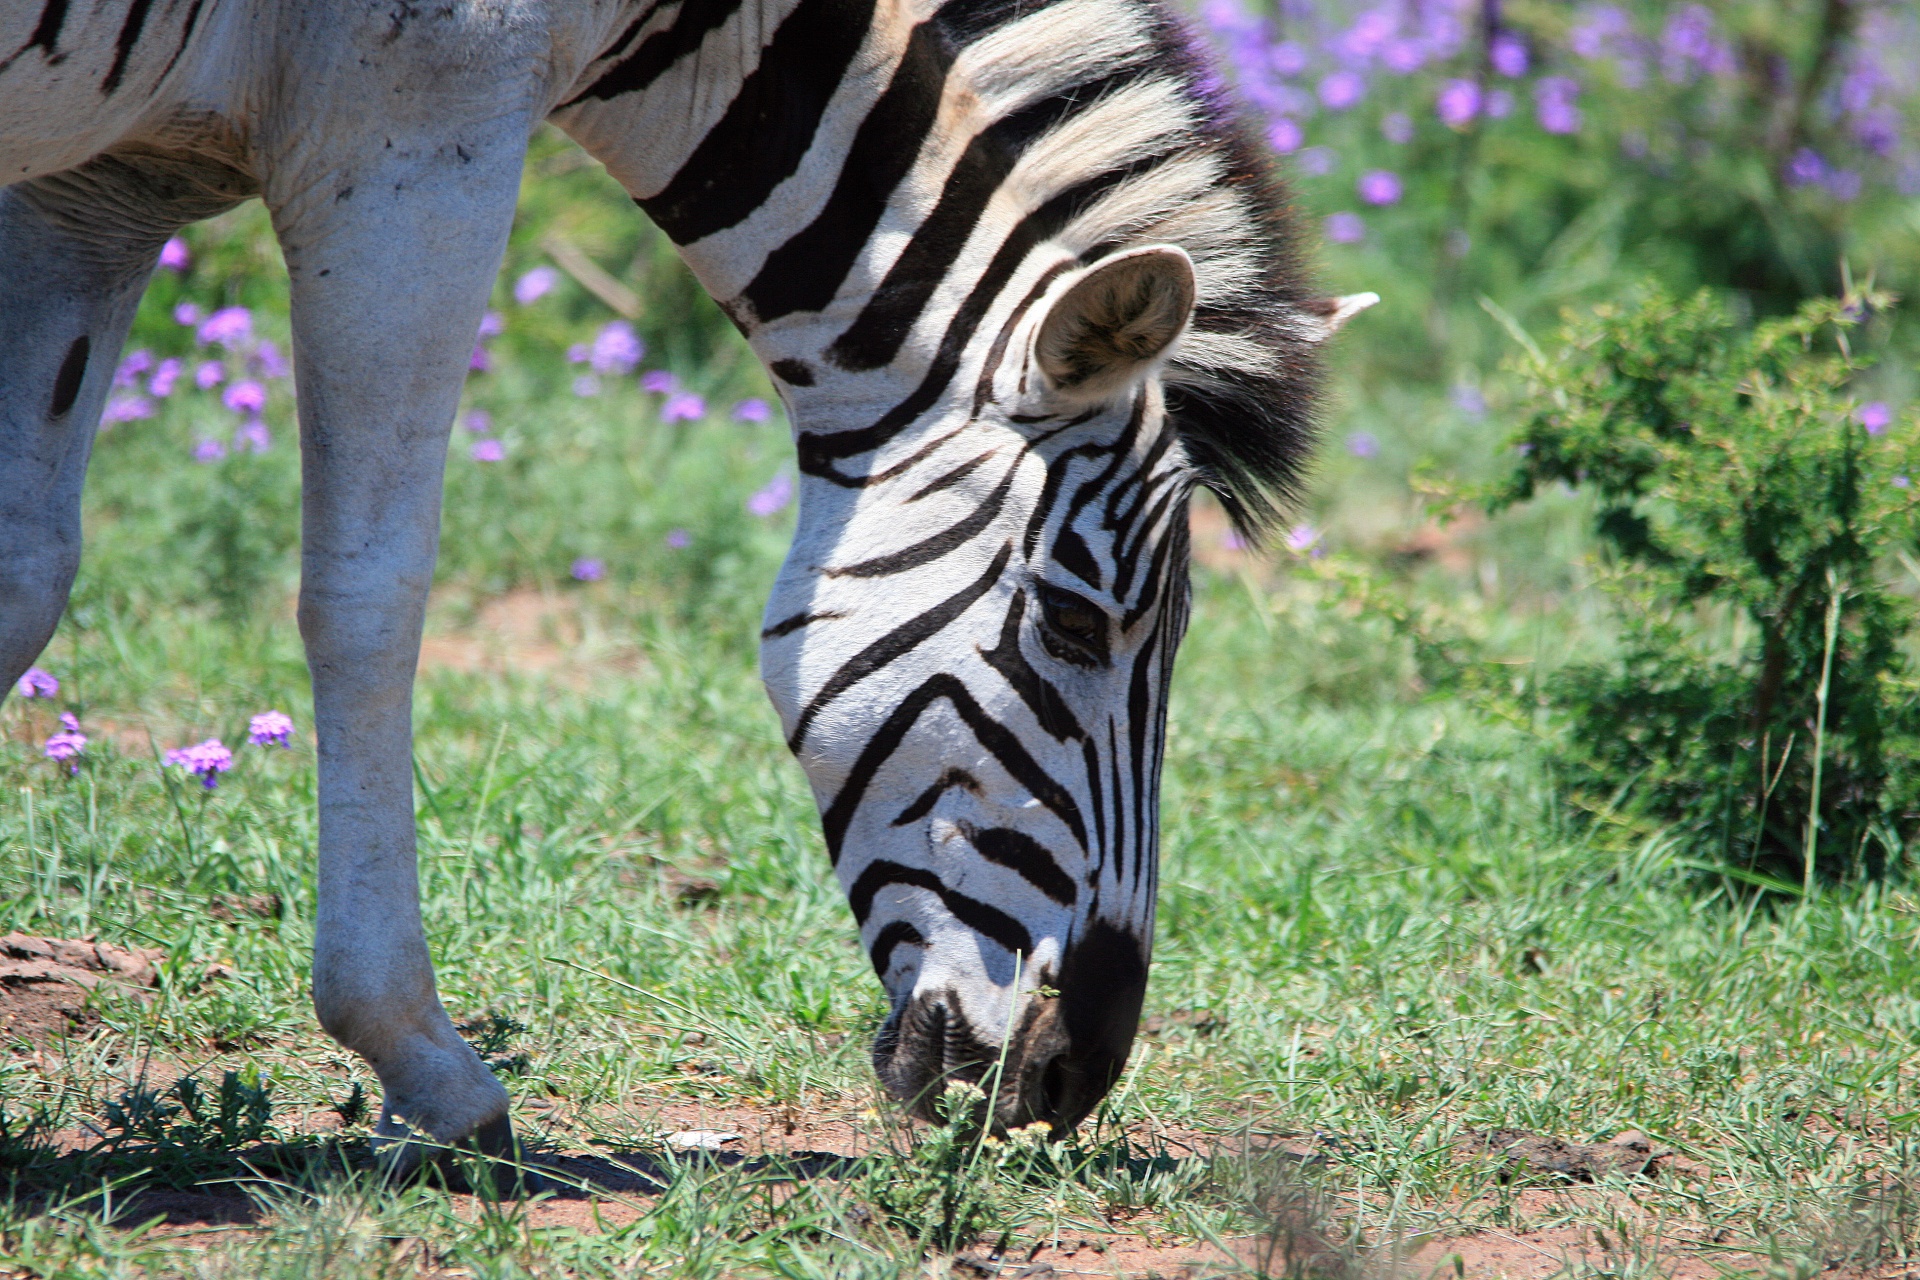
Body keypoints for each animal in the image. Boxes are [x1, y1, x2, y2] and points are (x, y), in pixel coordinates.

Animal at [0, 0, 1367, 1166]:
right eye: (1077, 623)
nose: (1076, 1074)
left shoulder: (105, 186)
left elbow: (29, 568)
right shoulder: (412, 135)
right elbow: (367, 591)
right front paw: (427, 1065)